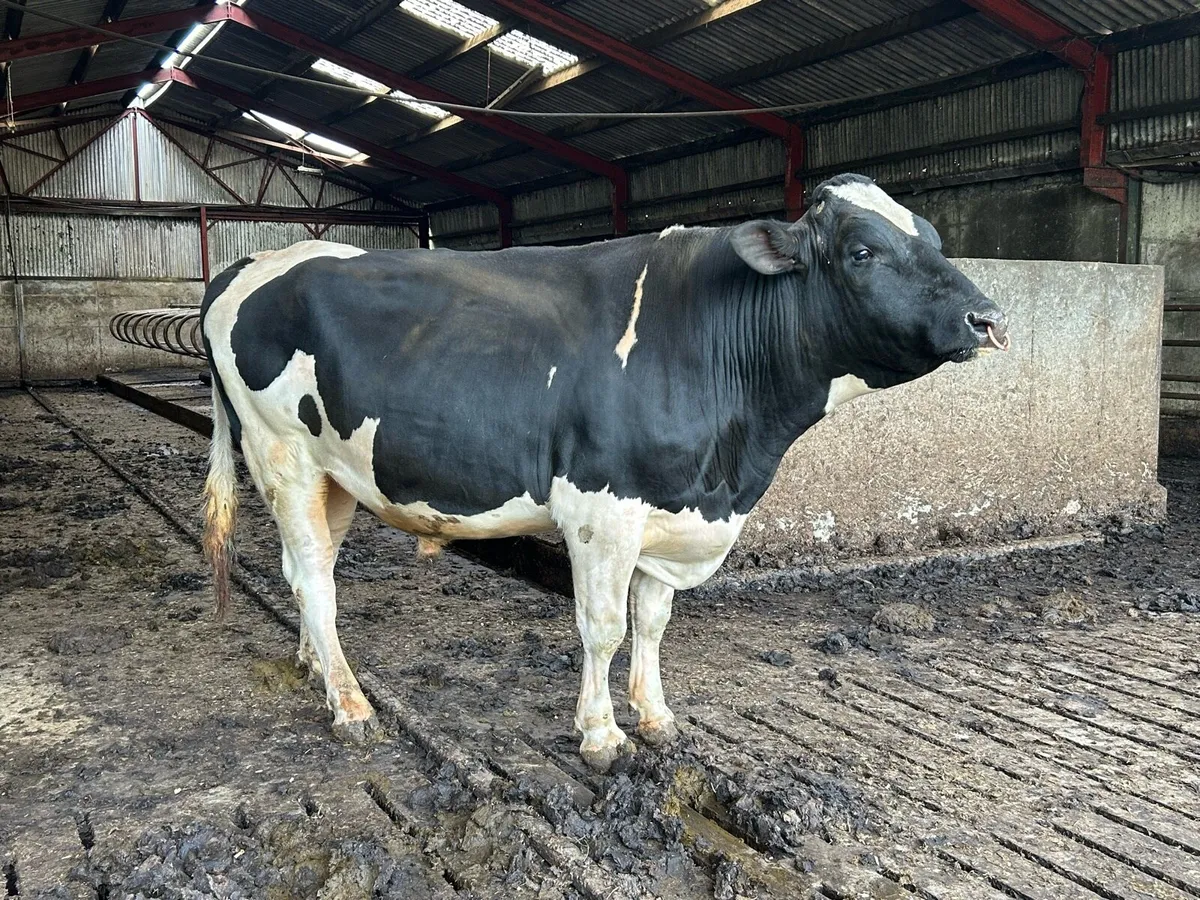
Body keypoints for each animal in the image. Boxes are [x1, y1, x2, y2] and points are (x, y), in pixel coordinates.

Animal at [200, 173, 1008, 773]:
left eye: (934, 237)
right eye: (862, 250)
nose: (990, 319)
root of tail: (253, 261)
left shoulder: (672, 508)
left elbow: (652, 622)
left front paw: (655, 716)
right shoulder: (601, 507)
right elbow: (604, 626)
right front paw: (600, 732)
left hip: (336, 472)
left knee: (306, 569)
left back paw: (315, 665)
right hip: (282, 454)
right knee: (314, 576)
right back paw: (350, 704)